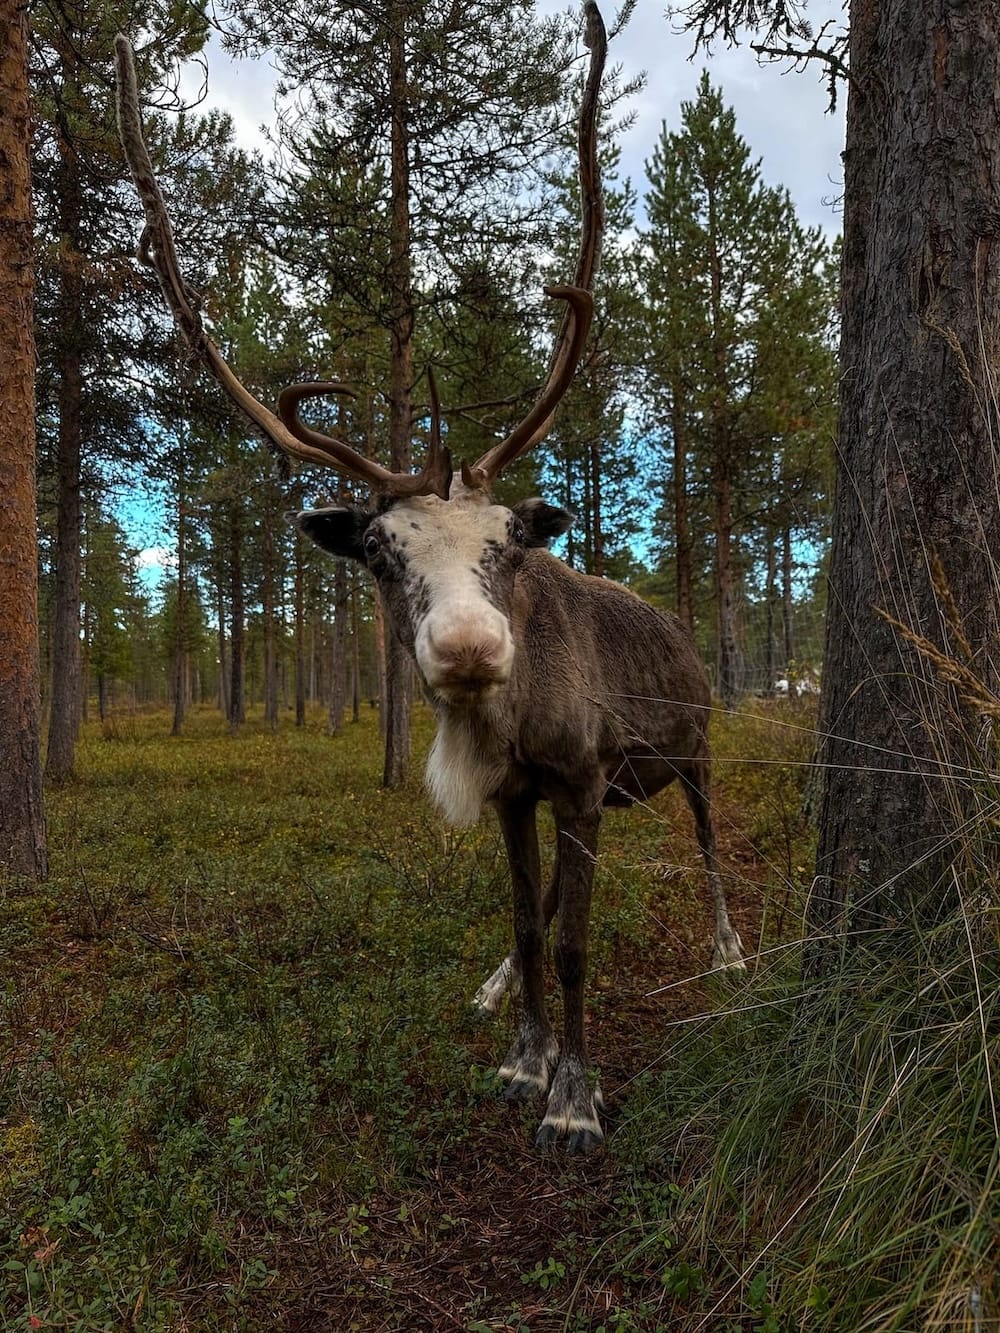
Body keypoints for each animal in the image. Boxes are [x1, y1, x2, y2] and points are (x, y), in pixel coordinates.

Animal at [114, 2, 744, 1155]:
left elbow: (576, 945)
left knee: (711, 838)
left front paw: (575, 1097)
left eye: (509, 542)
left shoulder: (581, 781)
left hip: (698, 744)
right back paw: (495, 987)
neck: (510, 726)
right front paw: (523, 1054)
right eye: (380, 550)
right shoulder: (518, 795)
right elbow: (529, 922)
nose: (469, 648)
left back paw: (725, 948)